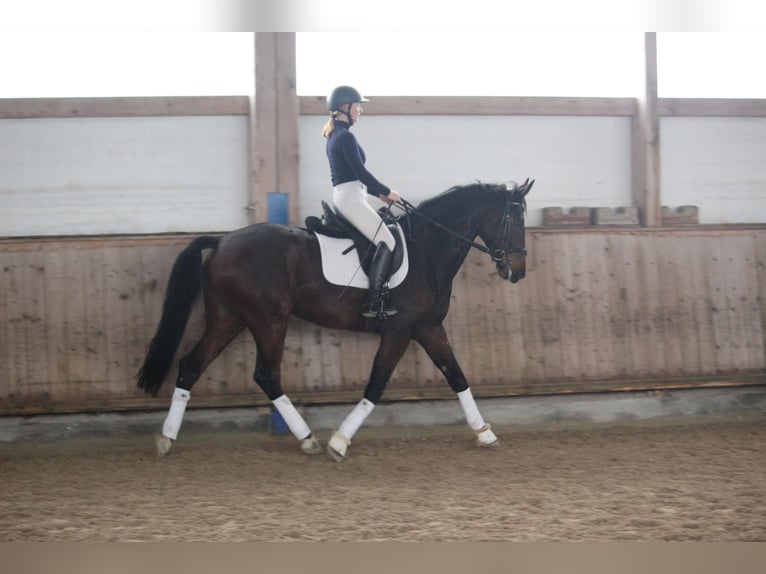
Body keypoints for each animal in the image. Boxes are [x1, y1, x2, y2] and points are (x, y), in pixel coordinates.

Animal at [136, 180, 536, 464]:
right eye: (516, 219)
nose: (517, 271)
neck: (428, 251)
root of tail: (221, 242)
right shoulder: (399, 331)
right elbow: (376, 384)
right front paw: (340, 442)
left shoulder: (428, 328)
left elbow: (457, 375)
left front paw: (484, 432)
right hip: (268, 319)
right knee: (266, 374)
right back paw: (308, 438)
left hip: (229, 319)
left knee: (191, 365)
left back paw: (167, 437)